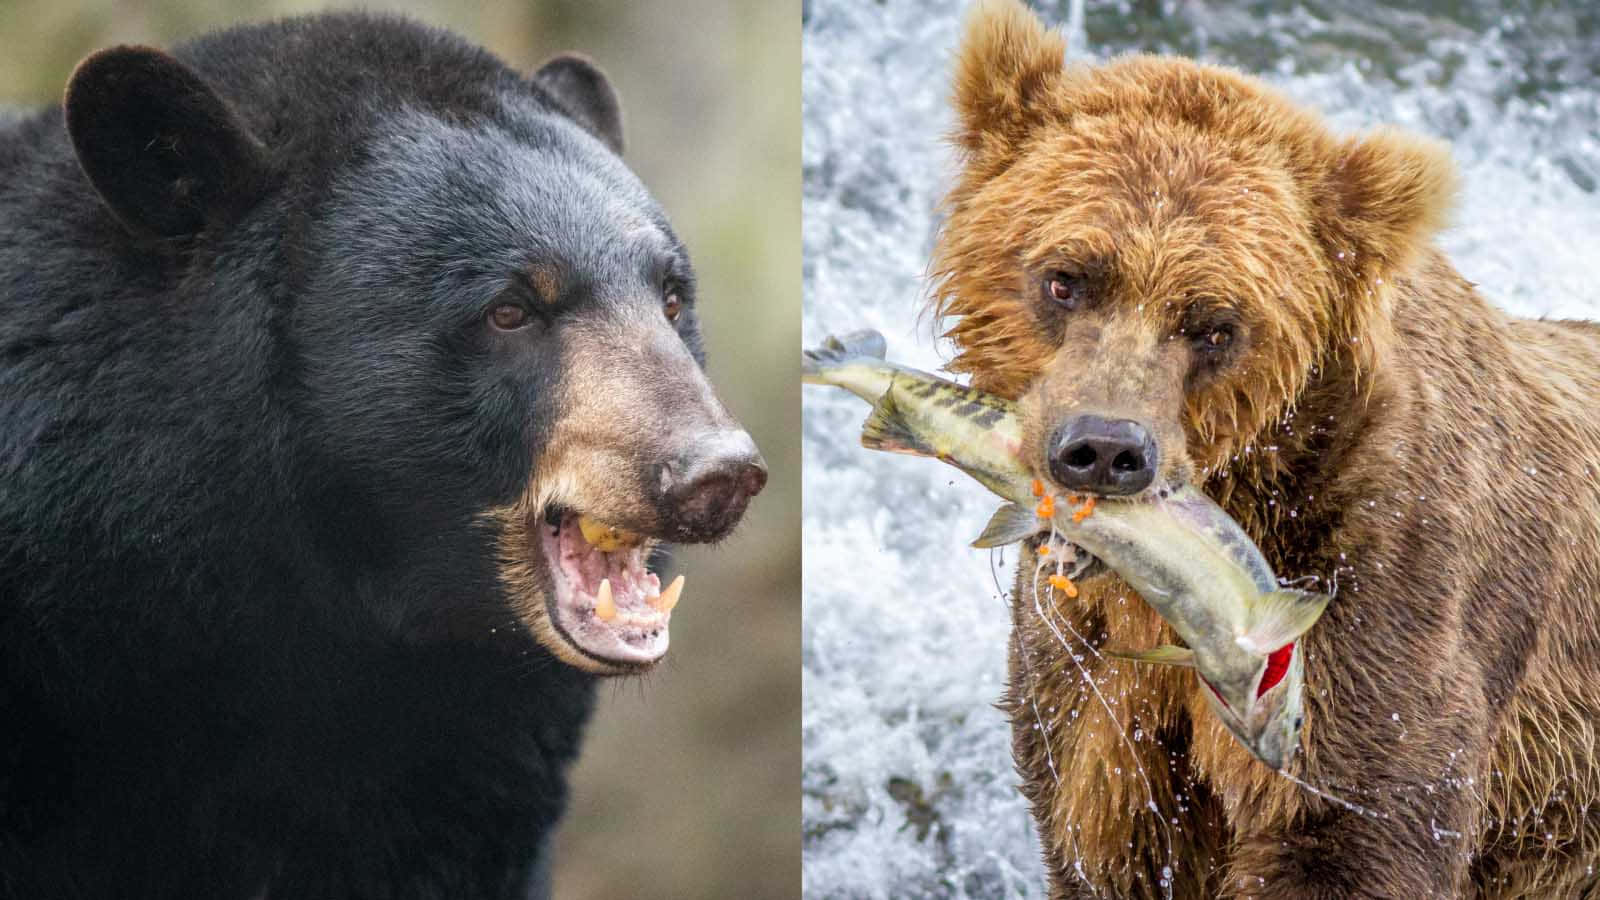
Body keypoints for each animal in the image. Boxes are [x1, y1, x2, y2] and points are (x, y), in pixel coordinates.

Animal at [929, 1, 1600, 897]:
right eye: (1065, 278)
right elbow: (1108, 835)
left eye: (1215, 323)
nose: (1104, 449)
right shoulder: (1098, 695)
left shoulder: (1374, 605)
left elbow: (1350, 829)